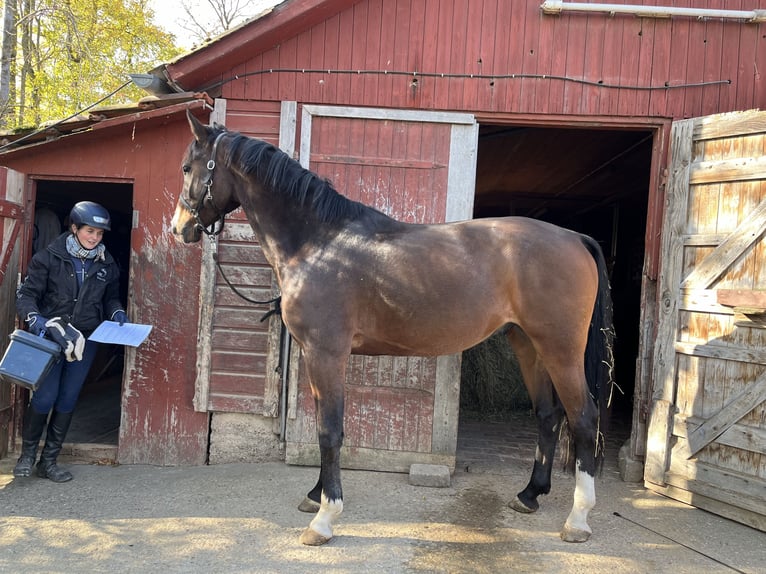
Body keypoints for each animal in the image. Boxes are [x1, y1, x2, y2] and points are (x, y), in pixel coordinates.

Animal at [171, 110, 616, 548]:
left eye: (187, 167)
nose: (179, 229)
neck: (318, 243)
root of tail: (575, 237)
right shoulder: (317, 356)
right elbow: (322, 428)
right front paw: (315, 494)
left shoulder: (325, 354)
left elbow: (329, 432)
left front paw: (324, 518)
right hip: (528, 345)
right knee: (548, 415)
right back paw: (529, 495)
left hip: (561, 349)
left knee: (583, 418)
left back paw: (578, 519)